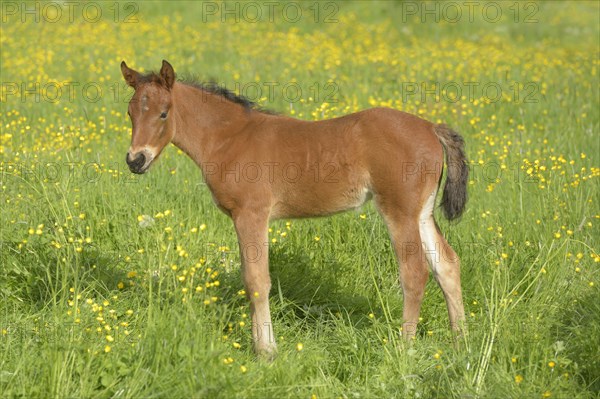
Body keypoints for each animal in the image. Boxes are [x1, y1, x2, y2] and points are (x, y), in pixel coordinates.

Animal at [120, 60, 468, 360]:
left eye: (164, 113)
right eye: (130, 111)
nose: (136, 160)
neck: (229, 138)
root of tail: (431, 127)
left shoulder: (251, 214)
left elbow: (256, 281)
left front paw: (266, 351)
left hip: (400, 211)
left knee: (415, 272)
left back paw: (403, 348)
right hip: (422, 213)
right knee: (447, 264)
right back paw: (460, 344)